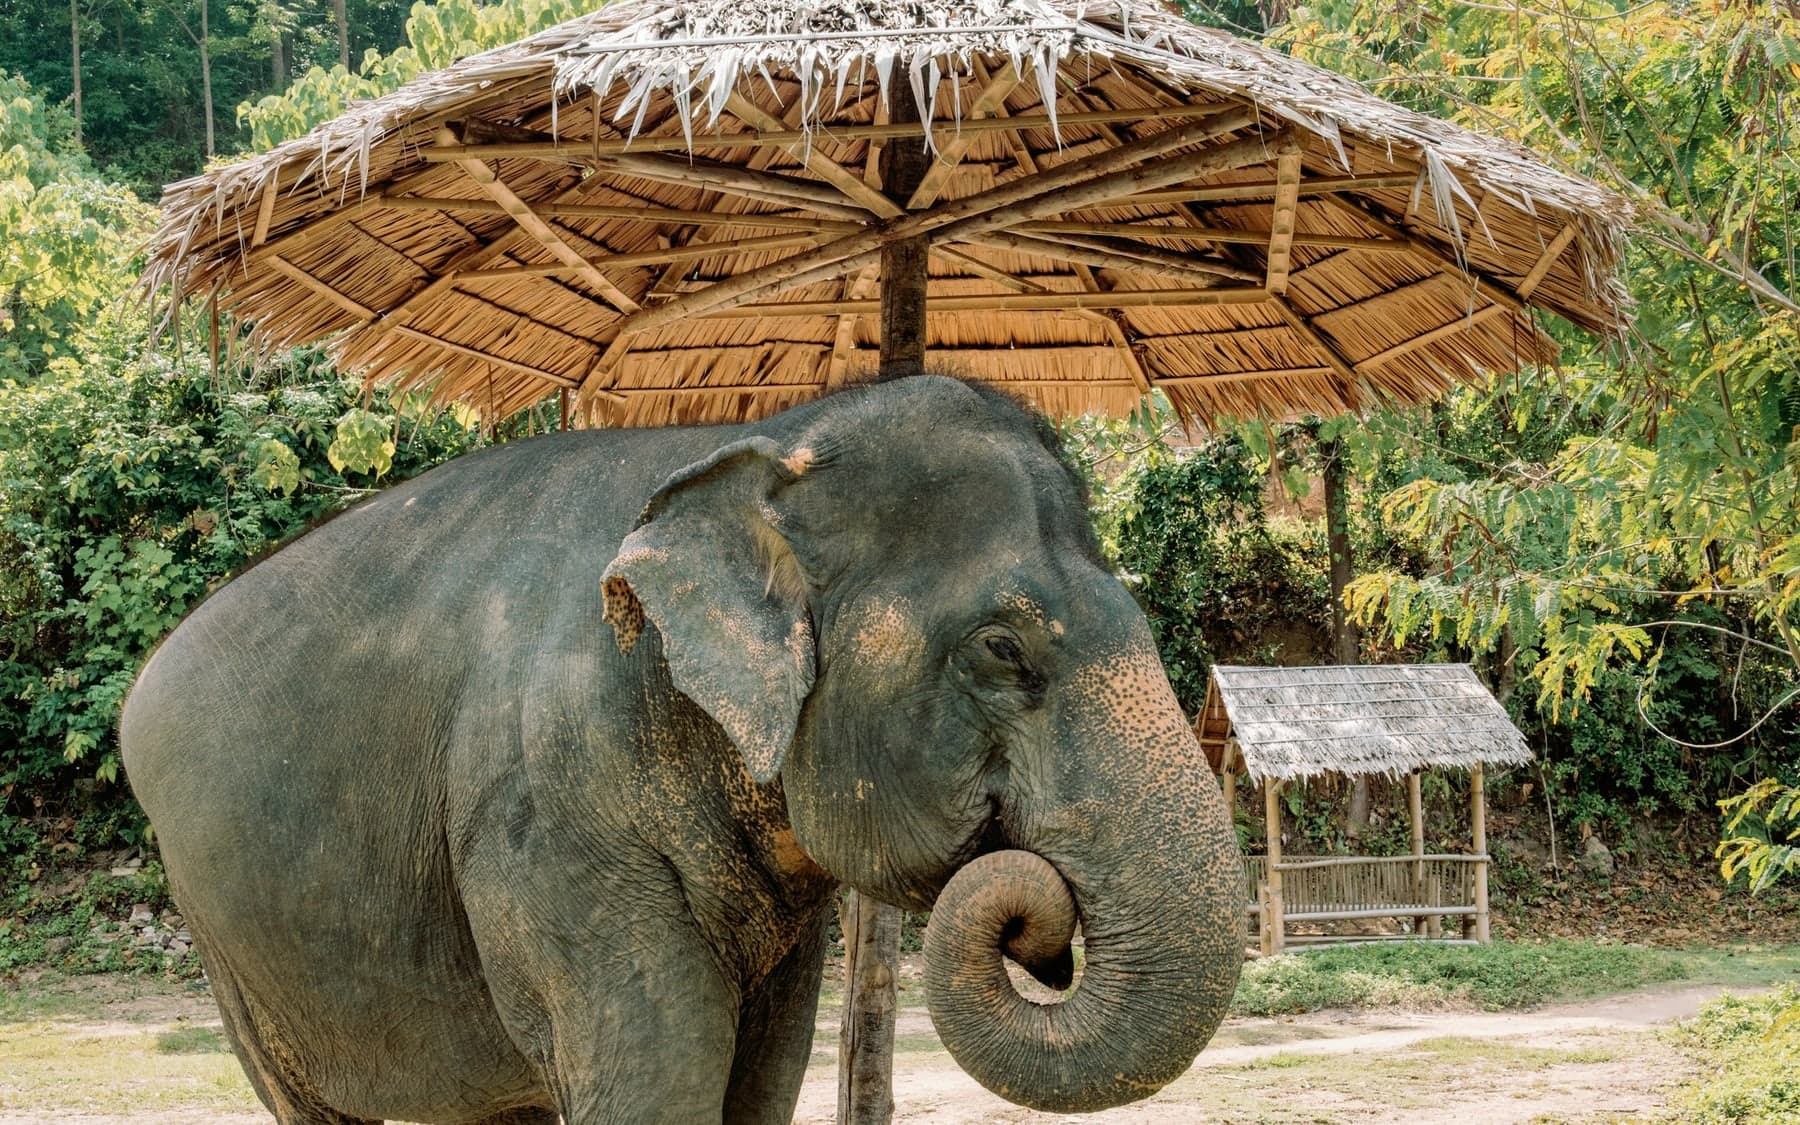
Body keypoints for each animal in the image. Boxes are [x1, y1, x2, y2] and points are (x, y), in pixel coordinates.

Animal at [120, 373, 1244, 1124]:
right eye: (1002, 649)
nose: (1043, 927)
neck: (762, 444)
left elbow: (762, 1079)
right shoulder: (550, 823)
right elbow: (656, 1080)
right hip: (231, 945)